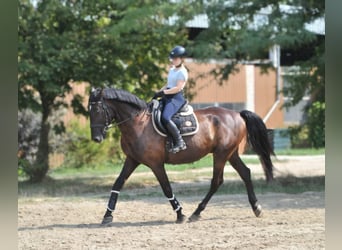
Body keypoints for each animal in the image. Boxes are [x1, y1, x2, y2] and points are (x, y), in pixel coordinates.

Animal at [89, 87, 276, 225]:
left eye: (97, 109)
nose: (96, 138)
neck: (137, 123)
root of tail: (237, 114)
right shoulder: (132, 160)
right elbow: (118, 184)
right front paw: (107, 216)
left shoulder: (155, 164)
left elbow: (166, 188)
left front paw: (180, 215)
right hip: (231, 153)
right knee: (245, 173)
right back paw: (256, 208)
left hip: (221, 154)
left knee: (217, 181)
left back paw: (196, 213)